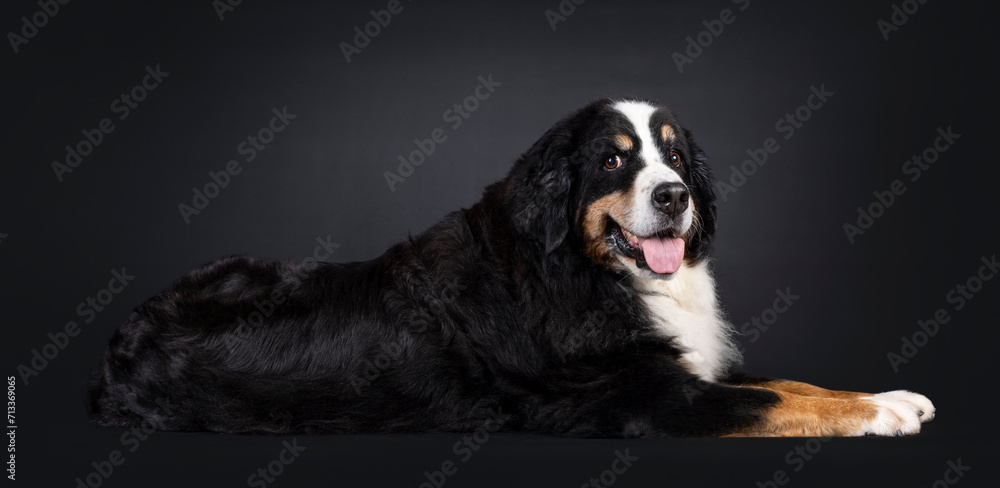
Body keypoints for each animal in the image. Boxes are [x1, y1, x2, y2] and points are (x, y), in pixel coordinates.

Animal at [88, 97, 936, 436]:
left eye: (675, 157)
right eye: (611, 160)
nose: (675, 195)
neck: (587, 275)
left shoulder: (682, 366)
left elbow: (795, 382)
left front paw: (890, 394)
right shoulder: (644, 396)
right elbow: (777, 401)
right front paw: (881, 414)